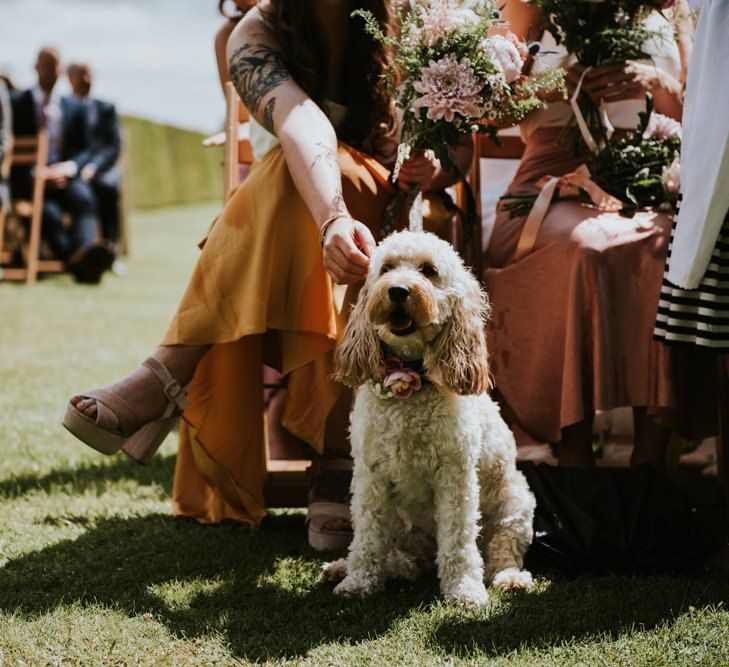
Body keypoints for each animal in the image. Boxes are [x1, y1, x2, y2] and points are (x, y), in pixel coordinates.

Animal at [324, 231, 536, 612]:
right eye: (386, 268)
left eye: (428, 270)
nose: (397, 290)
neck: (411, 383)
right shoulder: (370, 476)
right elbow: (367, 537)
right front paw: (358, 582)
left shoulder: (455, 477)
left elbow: (458, 541)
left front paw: (464, 590)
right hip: (401, 523)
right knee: (404, 560)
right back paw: (344, 567)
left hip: (515, 505)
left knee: (500, 552)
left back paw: (511, 579)